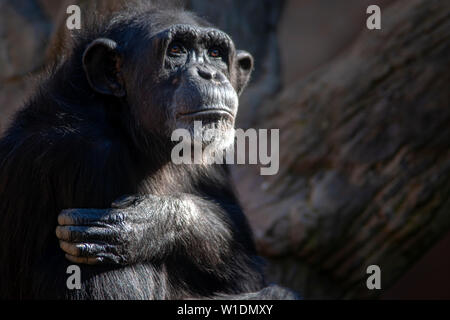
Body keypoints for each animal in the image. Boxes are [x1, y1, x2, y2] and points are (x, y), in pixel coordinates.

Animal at [0, 5, 296, 300]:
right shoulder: (86, 153)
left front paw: (153, 223)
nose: (209, 73)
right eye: (176, 50)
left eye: (215, 54)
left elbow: (246, 269)